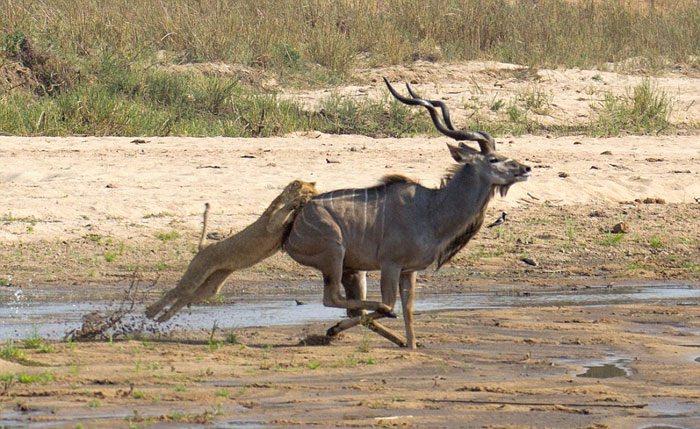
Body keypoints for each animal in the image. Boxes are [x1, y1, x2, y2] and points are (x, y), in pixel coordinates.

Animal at [146, 178, 318, 320]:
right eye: (310, 192)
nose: (316, 198)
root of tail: (204, 247)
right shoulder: (271, 225)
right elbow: (283, 212)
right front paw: (297, 202)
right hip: (196, 274)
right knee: (175, 291)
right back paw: (150, 313)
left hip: (212, 286)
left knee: (185, 298)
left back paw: (163, 318)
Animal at [284, 79, 532, 348]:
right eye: (493, 159)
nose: (526, 168)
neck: (430, 210)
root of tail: (293, 228)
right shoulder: (390, 265)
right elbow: (390, 304)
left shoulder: (409, 271)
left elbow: (409, 311)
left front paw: (411, 346)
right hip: (334, 255)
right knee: (339, 300)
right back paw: (334, 329)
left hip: (352, 270)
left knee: (352, 307)